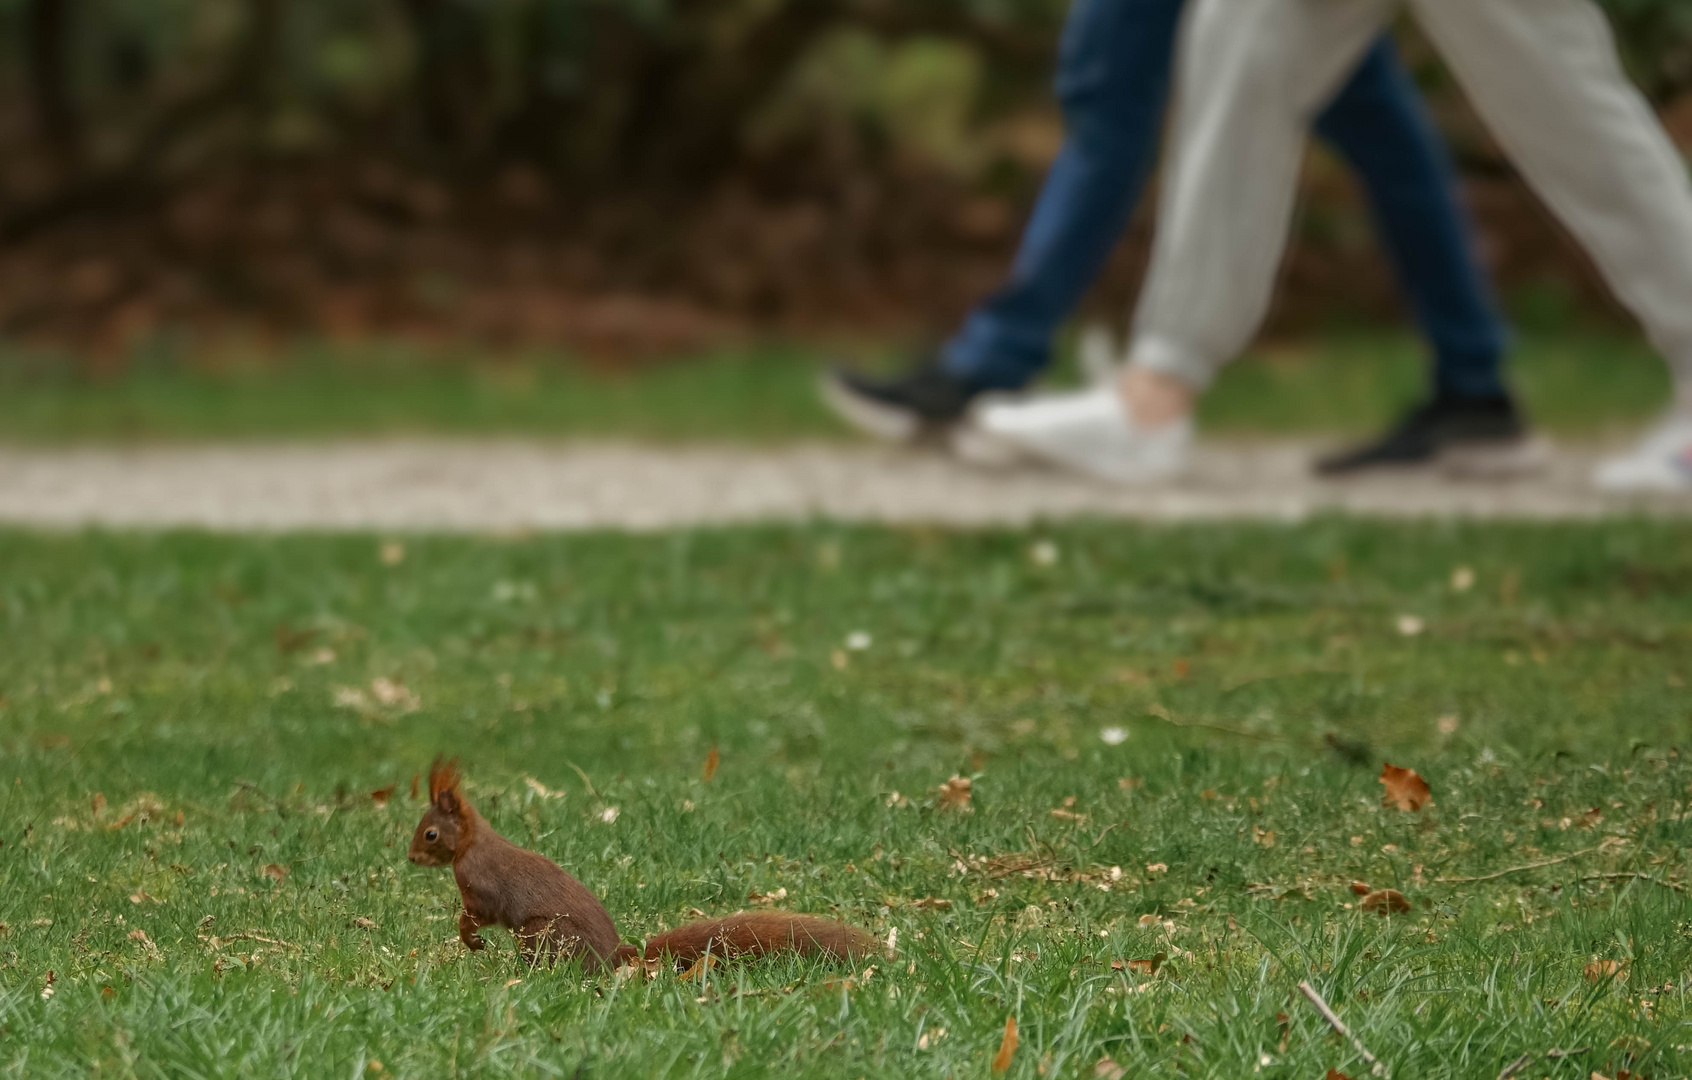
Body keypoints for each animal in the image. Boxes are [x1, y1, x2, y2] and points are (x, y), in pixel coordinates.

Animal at [404, 761, 879, 975]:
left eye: (430, 834)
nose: (410, 858)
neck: (471, 844)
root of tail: (615, 956)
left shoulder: (480, 884)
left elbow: (476, 913)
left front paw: (470, 938)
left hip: (541, 934)